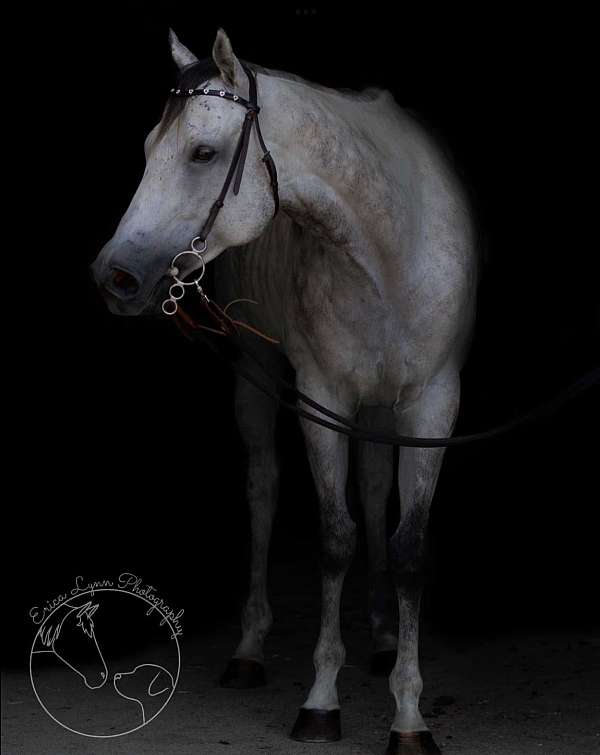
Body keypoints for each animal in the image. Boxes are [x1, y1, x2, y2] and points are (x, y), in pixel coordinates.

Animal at [91, 28, 477, 754]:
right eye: (148, 149)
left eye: (203, 152)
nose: (116, 277)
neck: (388, 250)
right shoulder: (320, 394)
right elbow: (335, 537)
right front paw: (322, 698)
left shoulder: (432, 403)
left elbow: (408, 545)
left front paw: (408, 714)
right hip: (260, 372)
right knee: (264, 489)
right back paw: (249, 651)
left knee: (373, 486)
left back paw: (382, 637)